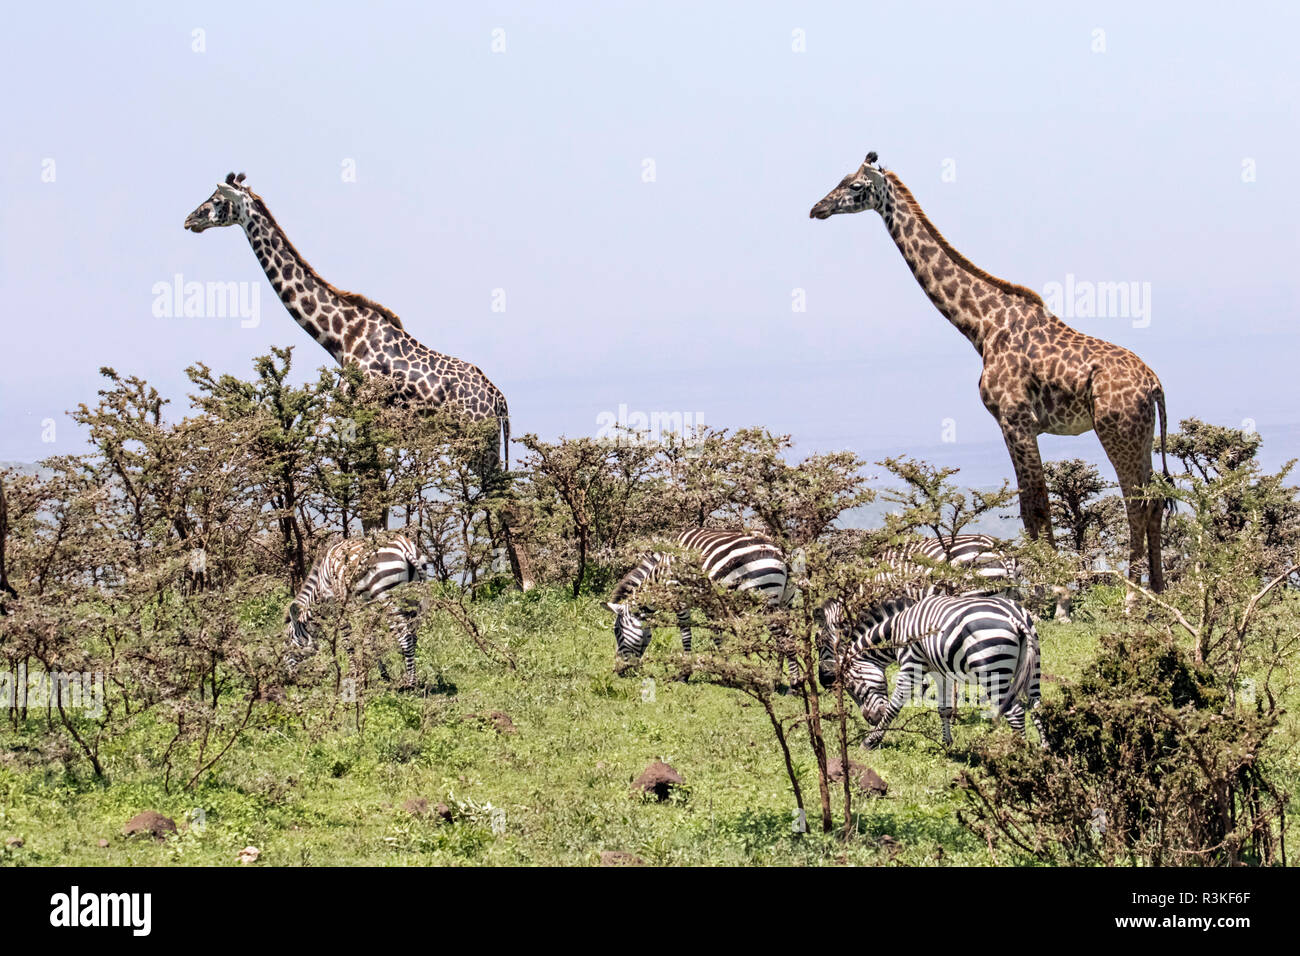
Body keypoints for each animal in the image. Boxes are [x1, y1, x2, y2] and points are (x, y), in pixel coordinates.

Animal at [184, 174, 533, 590]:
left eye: (215, 199)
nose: (189, 219)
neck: (338, 336)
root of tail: (499, 400)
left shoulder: (362, 422)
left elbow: (371, 511)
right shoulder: (366, 430)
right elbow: (375, 511)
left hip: (478, 445)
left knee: (509, 504)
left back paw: (528, 585)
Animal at [284, 530, 431, 686]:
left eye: (287, 640)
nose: (289, 679)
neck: (320, 589)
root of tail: (404, 547)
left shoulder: (338, 605)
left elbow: (348, 641)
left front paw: (353, 674)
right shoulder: (367, 606)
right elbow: (370, 639)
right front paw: (382, 674)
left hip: (388, 598)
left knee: (405, 637)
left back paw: (410, 683)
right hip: (412, 598)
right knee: (413, 636)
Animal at [605, 530, 795, 665]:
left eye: (617, 631)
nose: (618, 670)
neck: (660, 572)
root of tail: (779, 552)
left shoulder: (679, 596)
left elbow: (686, 634)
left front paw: (685, 672)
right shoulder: (710, 603)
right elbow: (717, 635)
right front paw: (725, 666)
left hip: (764, 601)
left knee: (786, 640)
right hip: (786, 600)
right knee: (788, 638)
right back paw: (778, 680)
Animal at [811, 153, 1170, 595]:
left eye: (856, 186)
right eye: (842, 179)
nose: (818, 208)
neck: (980, 326)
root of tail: (1154, 384)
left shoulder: (1015, 419)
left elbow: (1036, 508)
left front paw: (1049, 590)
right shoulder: (1017, 424)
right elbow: (1032, 510)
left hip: (1115, 430)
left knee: (1136, 503)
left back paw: (1133, 594)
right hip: (1142, 434)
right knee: (1155, 501)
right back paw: (1159, 589)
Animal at [842, 595, 1045, 749]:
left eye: (851, 686)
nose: (871, 719)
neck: (895, 630)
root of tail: (1014, 615)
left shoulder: (911, 663)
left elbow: (894, 705)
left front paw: (870, 741)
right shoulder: (942, 672)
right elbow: (944, 709)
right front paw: (947, 743)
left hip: (993, 671)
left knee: (1015, 712)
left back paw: (1019, 752)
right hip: (1033, 664)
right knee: (1036, 706)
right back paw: (1044, 751)